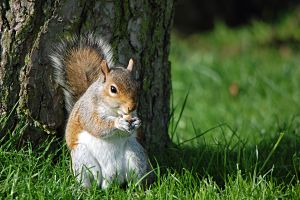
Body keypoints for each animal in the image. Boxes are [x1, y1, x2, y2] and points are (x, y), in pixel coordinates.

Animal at [50, 33, 151, 188]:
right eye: (113, 89)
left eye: (137, 86)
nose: (132, 106)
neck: (113, 111)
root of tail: (111, 179)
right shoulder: (87, 110)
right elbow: (96, 125)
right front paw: (117, 123)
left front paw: (137, 122)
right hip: (83, 158)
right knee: (88, 179)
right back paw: (83, 189)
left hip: (135, 153)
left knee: (135, 177)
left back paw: (139, 189)